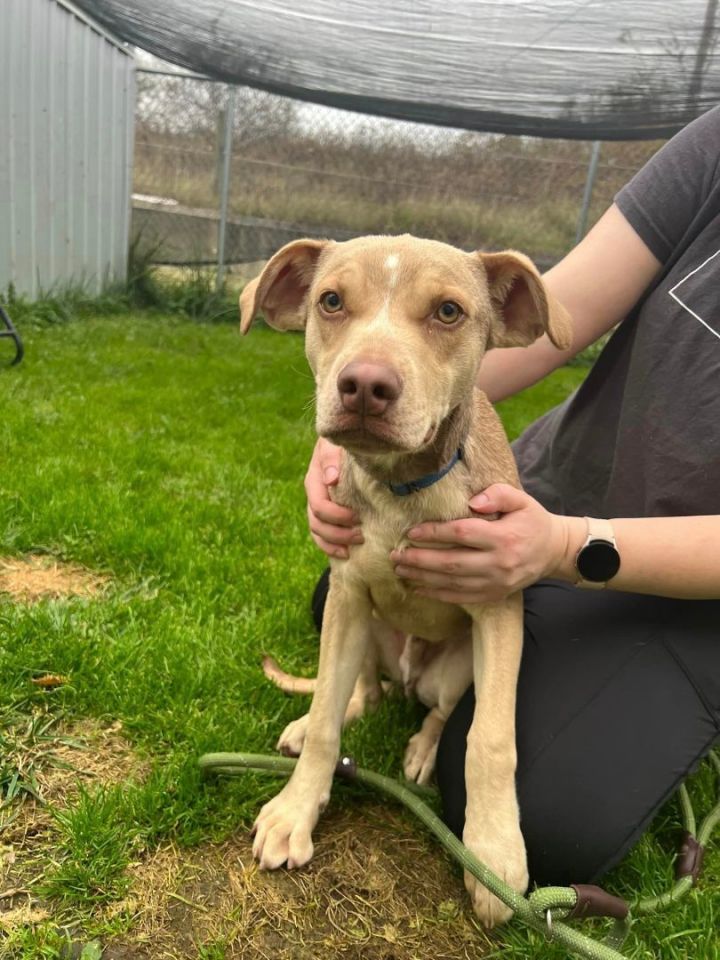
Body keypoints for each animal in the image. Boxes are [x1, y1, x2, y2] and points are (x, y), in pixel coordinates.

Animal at [239, 236, 572, 928]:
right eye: (330, 301)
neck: (404, 487)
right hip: (362, 630)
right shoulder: (346, 594)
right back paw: (319, 719)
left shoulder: (498, 606)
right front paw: (296, 808)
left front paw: (494, 852)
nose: (365, 385)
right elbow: (329, 717)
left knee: (442, 712)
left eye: (448, 312)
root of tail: (410, 675)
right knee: (356, 692)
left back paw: (421, 749)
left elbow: (489, 739)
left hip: (455, 668)